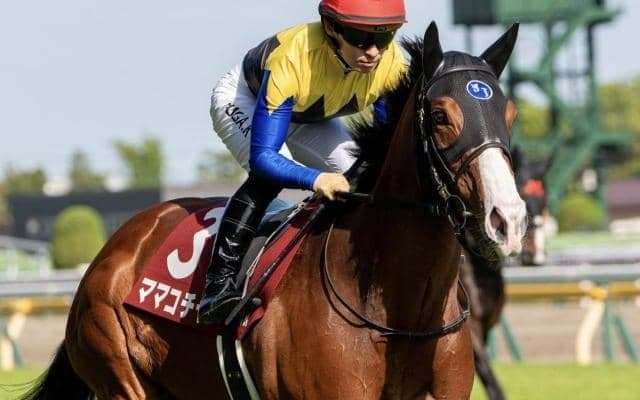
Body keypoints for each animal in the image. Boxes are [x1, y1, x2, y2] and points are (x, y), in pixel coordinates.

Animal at [21, 21, 525, 400]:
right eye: (440, 116)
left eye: (511, 114)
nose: (507, 219)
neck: (400, 316)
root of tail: (113, 249)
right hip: (122, 378)